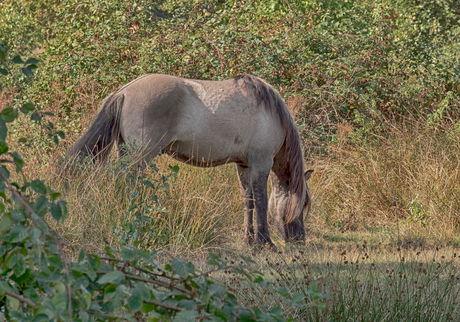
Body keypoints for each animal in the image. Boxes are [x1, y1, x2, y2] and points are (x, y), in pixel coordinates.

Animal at [68, 73, 312, 249]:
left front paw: (249, 240)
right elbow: (261, 201)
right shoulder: (261, 163)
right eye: (304, 204)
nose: (300, 239)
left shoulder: (243, 166)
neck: (270, 112)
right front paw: (265, 242)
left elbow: (248, 201)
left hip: (126, 152)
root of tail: (125, 92)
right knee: (130, 186)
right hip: (140, 157)